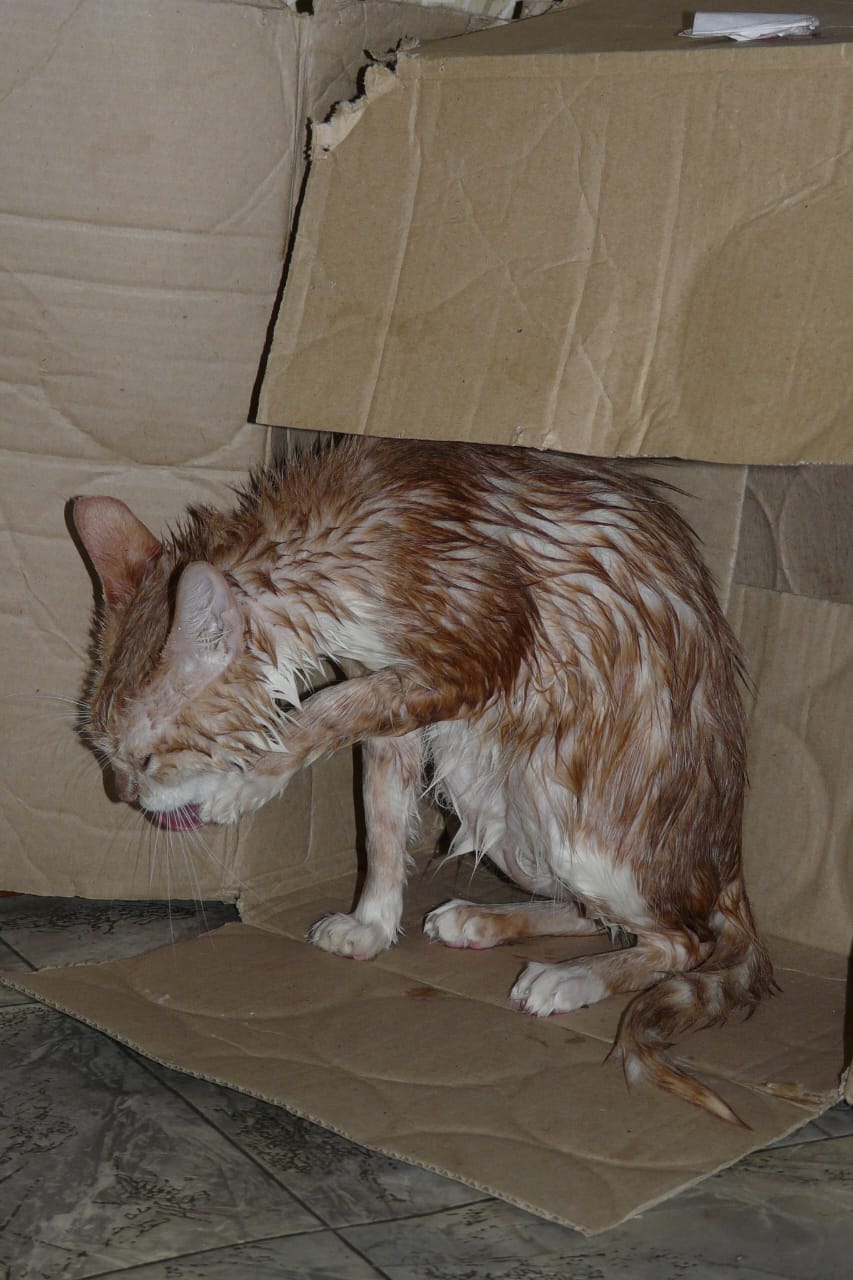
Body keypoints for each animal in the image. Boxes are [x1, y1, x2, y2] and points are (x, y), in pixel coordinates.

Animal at [71, 435, 774, 1125]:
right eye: (104, 756)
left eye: (144, 762)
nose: (122, 796)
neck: (327, 550)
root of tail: (732, 861)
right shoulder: (391, 702)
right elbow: (380, 821)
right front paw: (371, 925)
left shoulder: (468, 663)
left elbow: (324, 711)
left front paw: (245, 781)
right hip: (501, 816)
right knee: (601, 916)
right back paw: (481, 921)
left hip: (575, 818)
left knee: (686, 940)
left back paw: (571, 978)